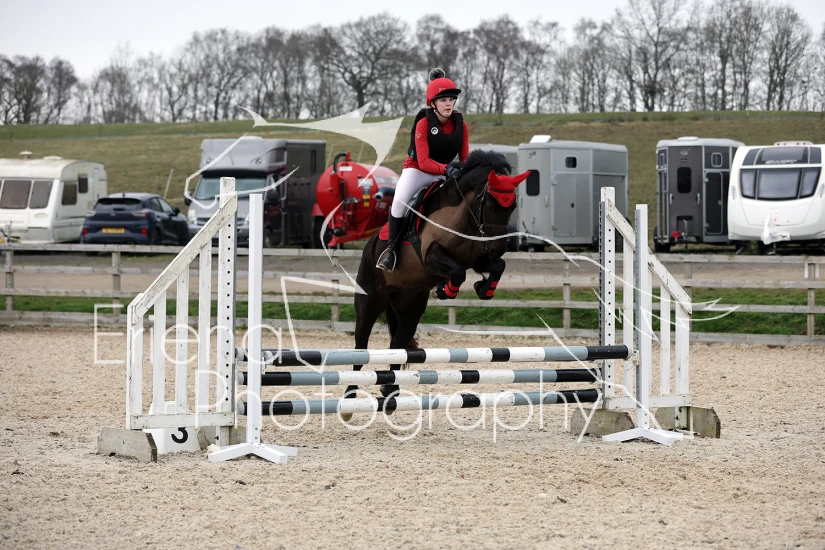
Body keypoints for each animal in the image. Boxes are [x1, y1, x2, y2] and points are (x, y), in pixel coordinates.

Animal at [346, 149, 530, 402]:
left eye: (511, 207)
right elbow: (458, 271)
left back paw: (391, 389)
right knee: (361, 345)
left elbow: (497, 267)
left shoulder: (477, 260)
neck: (464, 214)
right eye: (490, 204)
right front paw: (446, 290)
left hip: (410, 306)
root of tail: (369, 247)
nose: (498, 248)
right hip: (371, 300)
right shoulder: (431, 257)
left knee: (398, 342)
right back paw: (350, 392)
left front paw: (484, 288)